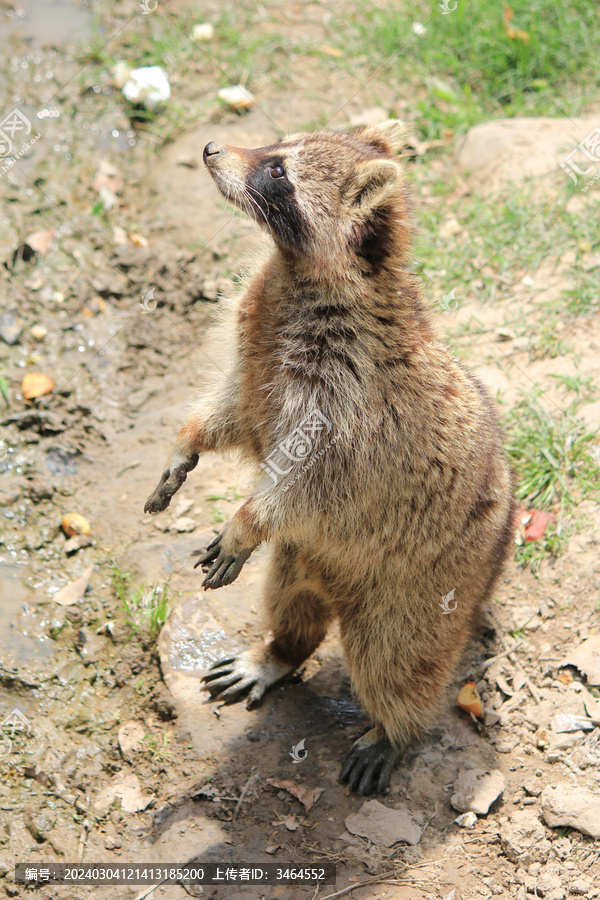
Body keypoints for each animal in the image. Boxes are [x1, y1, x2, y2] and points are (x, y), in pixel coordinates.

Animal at [146, 121, 516, 796]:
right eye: (274, 145)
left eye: (278, 173)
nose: (211, 148)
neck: (298, 270)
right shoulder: (257, 348)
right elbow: (234, 410)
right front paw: (187, 440)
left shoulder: (349, 403)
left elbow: (303, 479)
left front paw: (246, 517)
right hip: (303, 555)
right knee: (291, 604)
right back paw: (280, 650)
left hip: (428, 584)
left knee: (397, 662)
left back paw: (397, 729)